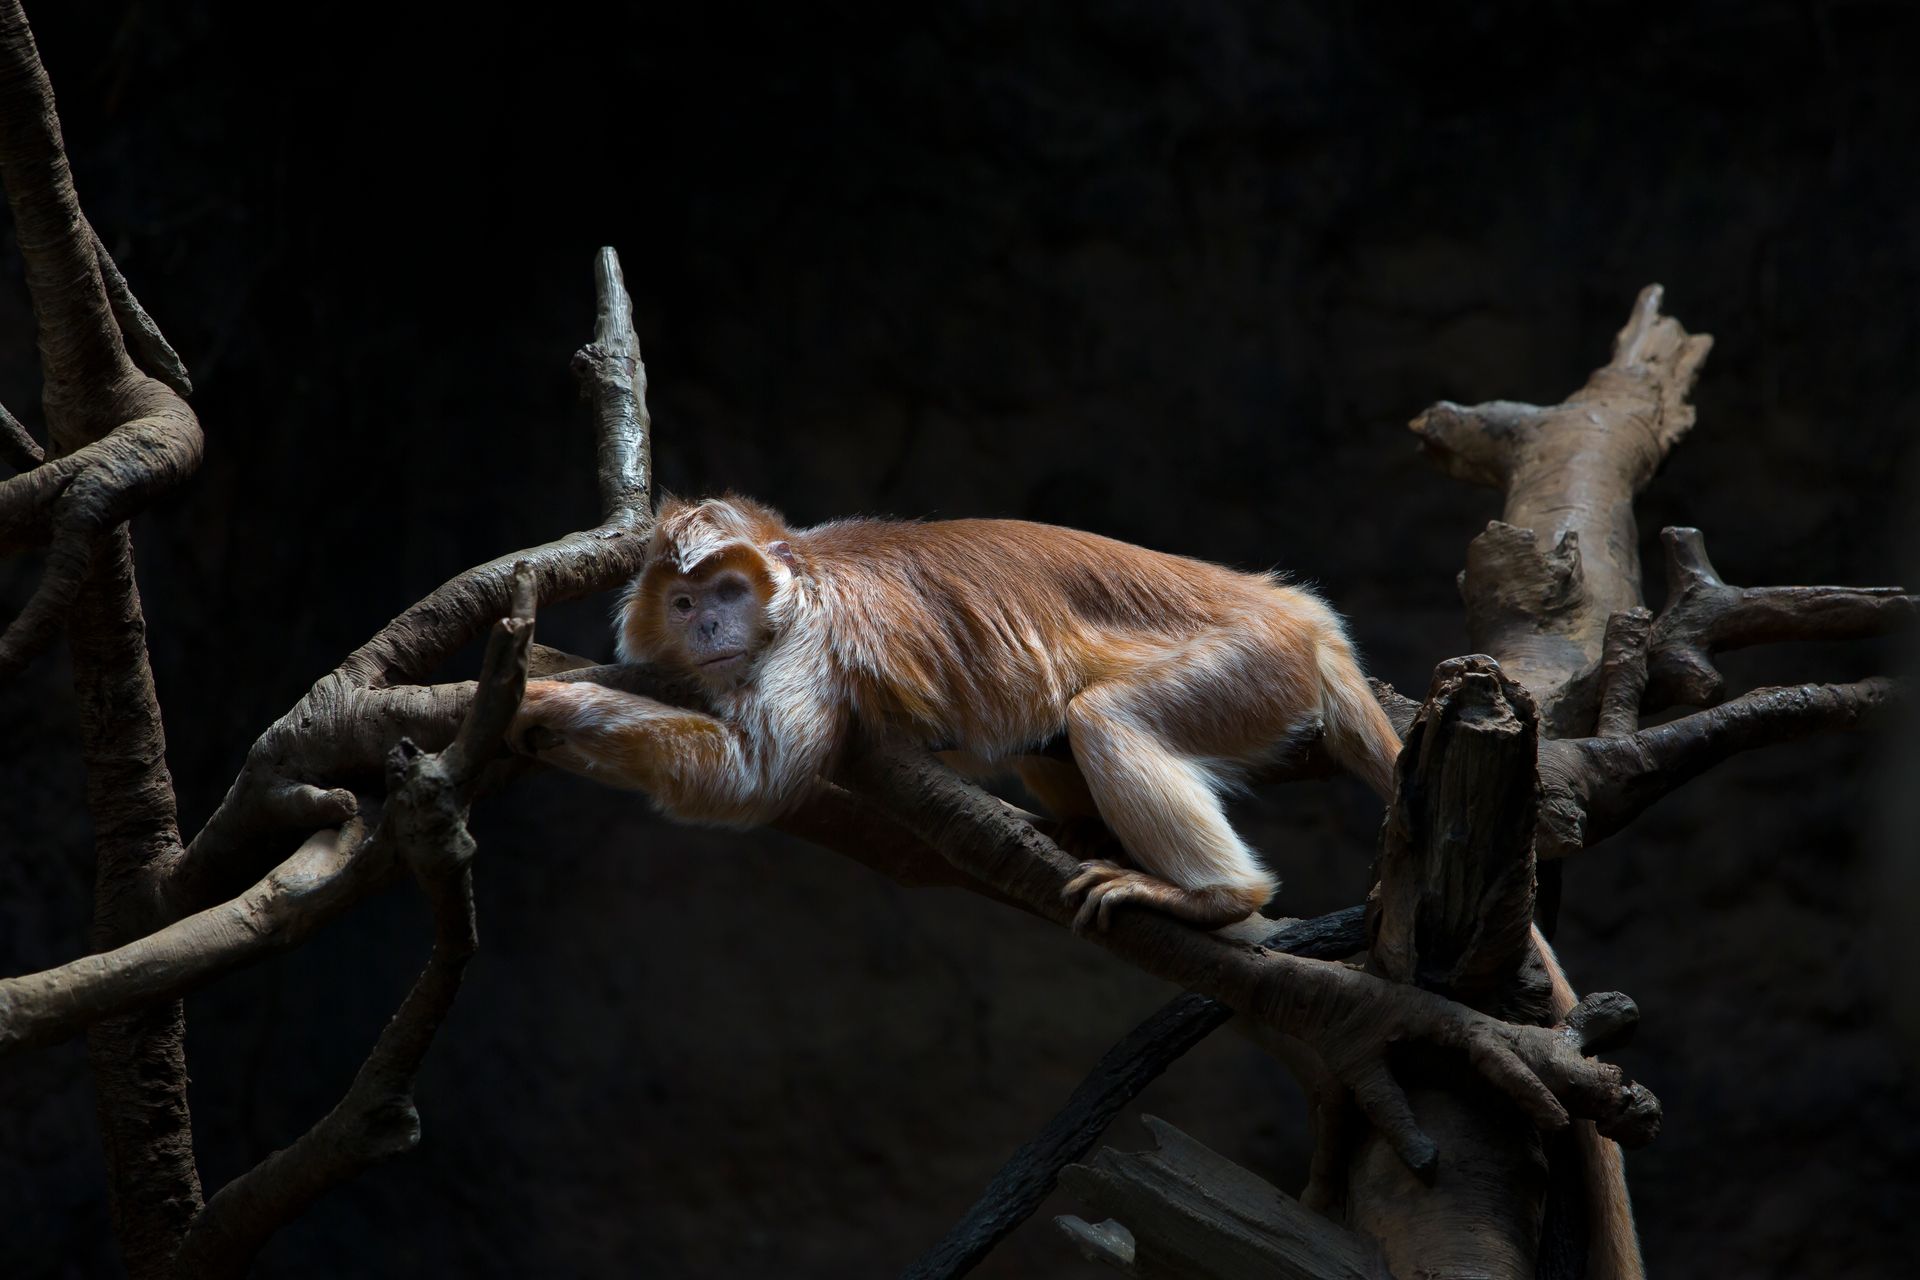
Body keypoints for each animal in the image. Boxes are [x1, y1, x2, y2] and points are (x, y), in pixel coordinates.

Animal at [515, 493, 1402, 933]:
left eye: (728, 593)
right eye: (685, 602)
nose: (705, 626)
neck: (803, 574)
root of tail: (1299, 611)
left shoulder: (813, 634)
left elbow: (757, 778)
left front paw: (548, 698)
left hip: (1253, 663)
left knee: (1103, 715)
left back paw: (1218, 897)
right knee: (1051, 730)